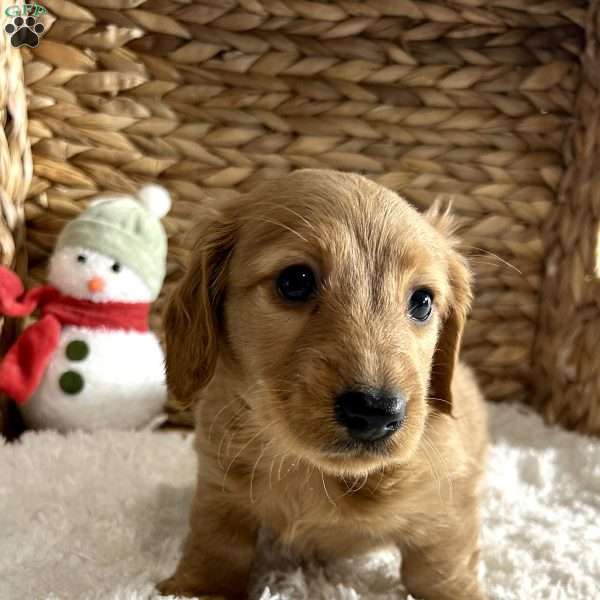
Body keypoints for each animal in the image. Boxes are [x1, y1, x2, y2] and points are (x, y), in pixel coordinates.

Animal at [158, 169, 488, 600]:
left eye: (422, 302)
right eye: (295, 281)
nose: (375, 411)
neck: (310, 468)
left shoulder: (448, 503)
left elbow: (440, 571)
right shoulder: (218, 481)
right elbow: (216, 543)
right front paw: (193, 586)